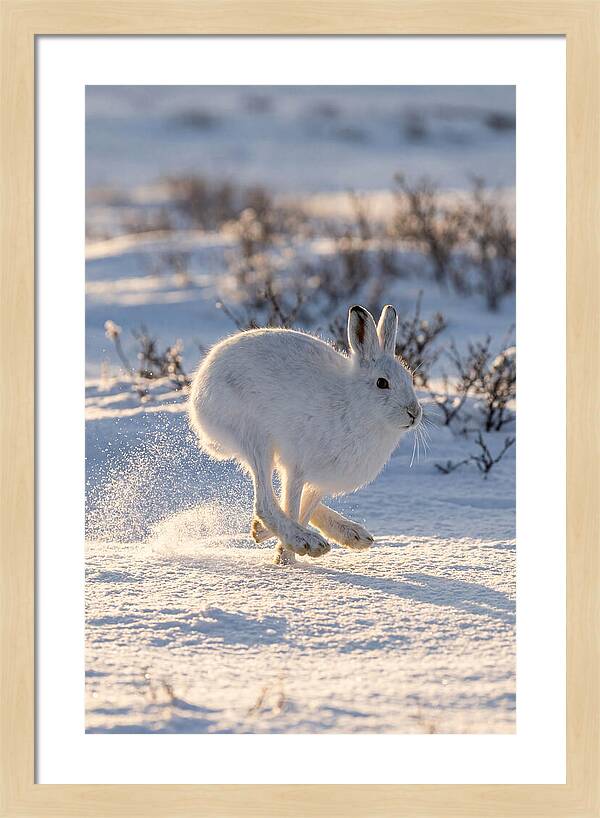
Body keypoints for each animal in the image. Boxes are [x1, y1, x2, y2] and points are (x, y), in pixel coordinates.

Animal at [188, 304, 422, 565]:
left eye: (410, 378)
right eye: (382, 383)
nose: (414, 412)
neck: (354, 405)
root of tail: (198, 389)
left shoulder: (321, 480)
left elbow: (304, 508)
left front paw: (280, 550)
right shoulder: (298, 468)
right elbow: (292, 506)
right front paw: (287, 558)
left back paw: (351, 534)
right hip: (255, 438)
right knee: (265, 502)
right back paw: (305, 540)